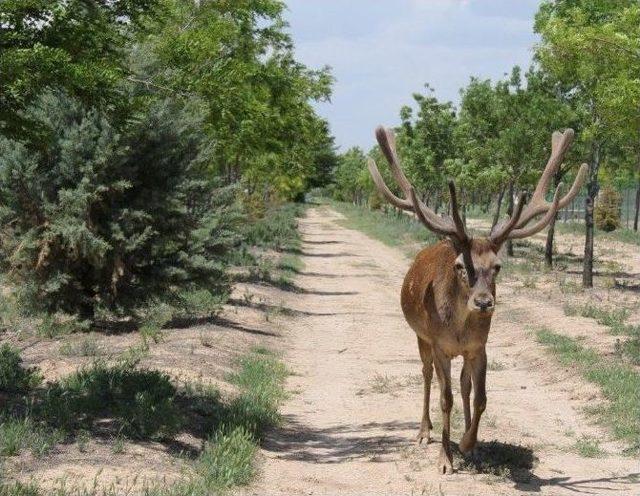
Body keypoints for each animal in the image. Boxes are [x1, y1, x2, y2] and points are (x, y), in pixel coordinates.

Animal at [368, 126, 588, 474]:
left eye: (497, 266)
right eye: (460, 266)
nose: (483, 303)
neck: (458, 329)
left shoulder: (479, 347)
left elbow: (481, 396)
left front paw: (468, 444)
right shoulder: (439, 344)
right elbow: (445, 398)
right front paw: (445, 459)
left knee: (464, 385)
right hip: (421, 337)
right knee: (426, 375)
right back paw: (424, 432)